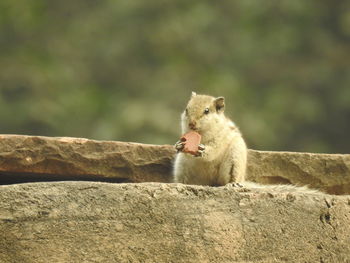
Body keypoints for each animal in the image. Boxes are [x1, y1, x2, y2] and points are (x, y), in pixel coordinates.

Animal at [173, 92, 322, 194]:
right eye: (186, 109)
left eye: (206, 111)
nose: (191, 123)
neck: (202, 135)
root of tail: (209, 183)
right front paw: (179, 145)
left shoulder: (220, 138)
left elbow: (214, 149)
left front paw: (203, 150)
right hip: (181, 166)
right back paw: (182, 184)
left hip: (235, 159)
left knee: (229, 180)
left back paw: (232, 184)